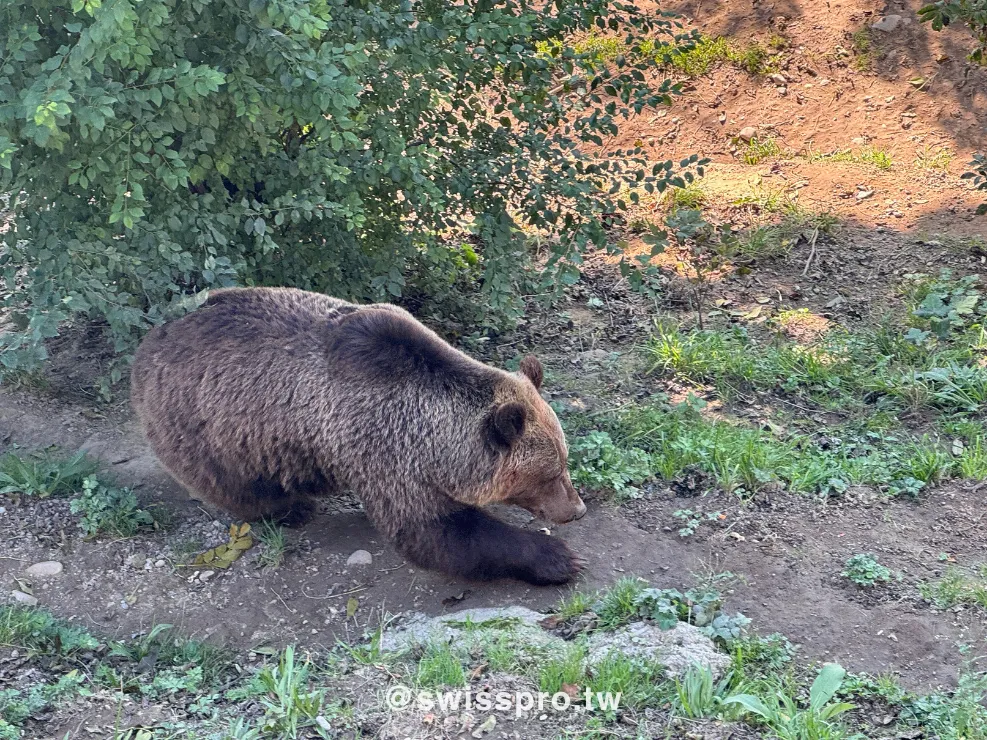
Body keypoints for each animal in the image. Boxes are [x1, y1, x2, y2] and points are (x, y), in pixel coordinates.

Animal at [130, 286, 587, 586]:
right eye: (547, 474)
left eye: (565, 462)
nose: (577, 509)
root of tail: (152, 337)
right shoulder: (384, 449)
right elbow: (437, 533)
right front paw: (558, 557)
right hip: (211, 427)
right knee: (237, 483)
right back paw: (290, 509)